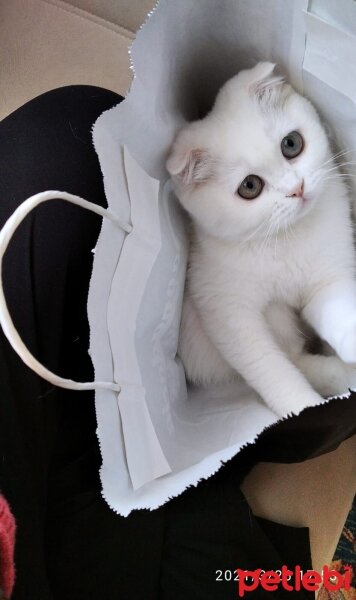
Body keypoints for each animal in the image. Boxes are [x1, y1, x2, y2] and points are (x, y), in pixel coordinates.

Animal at [166, 61, 356, 418]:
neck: (286, 237)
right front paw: (303, 408)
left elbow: (339, 309)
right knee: (292, 356)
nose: (296, 188)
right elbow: (270, 368)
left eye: (291, 144)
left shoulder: (329, 274)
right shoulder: (224, 307)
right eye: (250, 186)